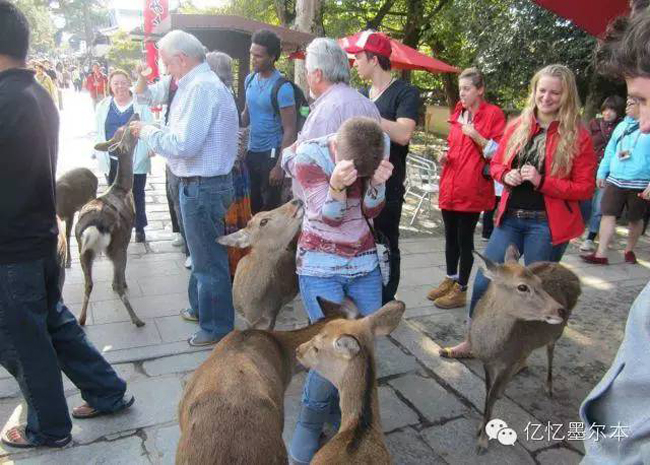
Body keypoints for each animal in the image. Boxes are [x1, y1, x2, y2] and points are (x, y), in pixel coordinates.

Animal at [74, 113, 143, 326]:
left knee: (88, 284)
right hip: (116, 244)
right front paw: (124, 283)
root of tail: (94, 226)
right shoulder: (127, 236)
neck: (122, 188)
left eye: (119, 129)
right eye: (127, 129)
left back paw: (81, 319)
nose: (135, 114)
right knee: (115, 282)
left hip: (83, 249)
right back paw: (137, 319)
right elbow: (120, 275)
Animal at [468, 245, 580, 452]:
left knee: (550, 351)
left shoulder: (508, 360)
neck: (491, 347)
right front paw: (481, 426)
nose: (560, 310)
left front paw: (483, 440)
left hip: (556, 333)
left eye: (539, 282)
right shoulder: (487, 362)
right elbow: (488, 390)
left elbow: (492, 393)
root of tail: (572, 273)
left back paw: (549, 387)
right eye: (522, 286)